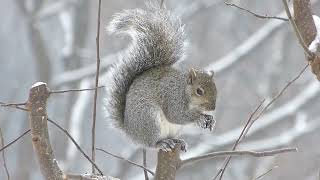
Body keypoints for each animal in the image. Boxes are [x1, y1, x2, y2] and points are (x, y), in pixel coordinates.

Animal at [105, 2, 218, 152]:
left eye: (215, 88)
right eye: (199, 91)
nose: (212, 108)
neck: (183, 90)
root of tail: (131, 132)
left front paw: (210, 119)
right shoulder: (172, 99)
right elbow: (177, 115)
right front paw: (199, 118)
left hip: (173, 129)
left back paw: (177, 141)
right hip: (149, 119)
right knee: (151, 144)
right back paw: (162, 144)